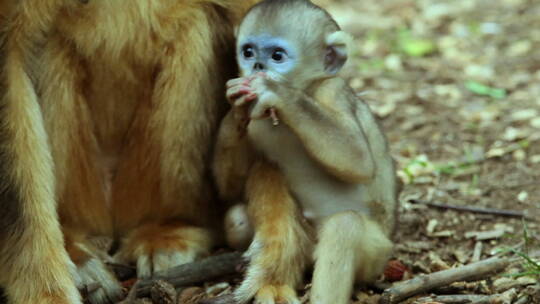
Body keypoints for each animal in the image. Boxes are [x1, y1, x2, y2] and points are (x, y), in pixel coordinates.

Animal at [213, 0, 398, 304]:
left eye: (277, 55)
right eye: (248, 51)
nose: (257, 66)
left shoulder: (332, 90)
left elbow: (357, 159)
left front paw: (277, 91)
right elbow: (229, 189)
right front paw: (236, 108)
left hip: (376, 256)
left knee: (345, 225)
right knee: (237, 217)